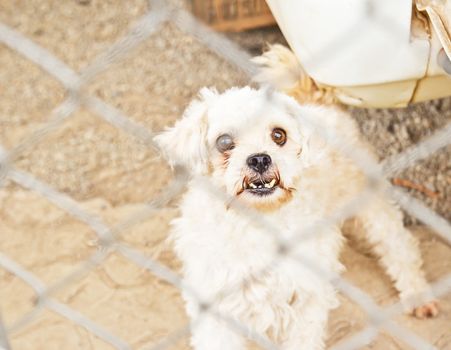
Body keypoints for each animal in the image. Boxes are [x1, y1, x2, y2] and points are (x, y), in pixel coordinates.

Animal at [154, 85, 438, 350]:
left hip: (371, 202)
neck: (258, 223)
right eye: (224, 141)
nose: (259, 159)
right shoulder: (215, 302)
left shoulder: (306, 296)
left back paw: (418, 295)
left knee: (399, 245)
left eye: (278, 135)